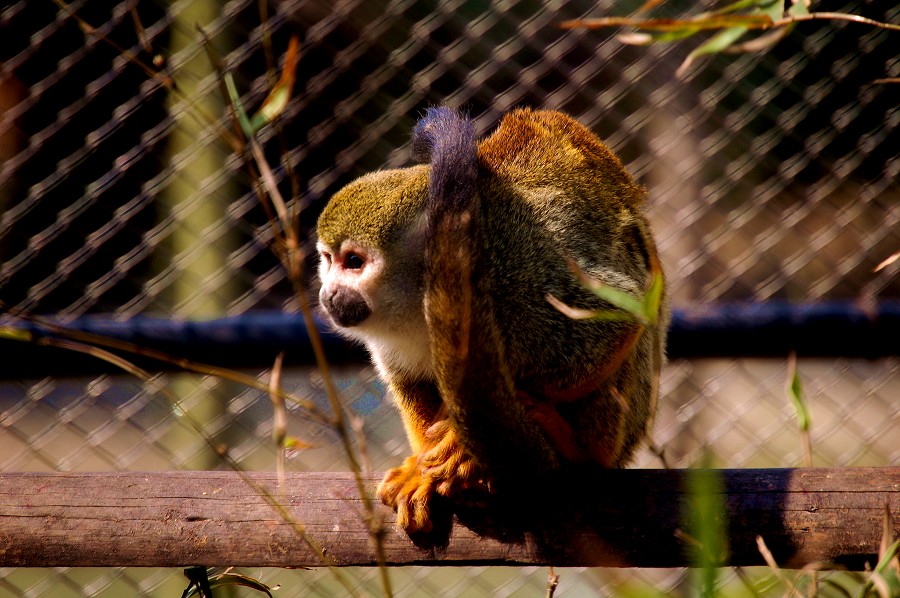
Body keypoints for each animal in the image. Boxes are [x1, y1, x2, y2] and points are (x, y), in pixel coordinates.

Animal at [318, 106, 668, 536]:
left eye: (353, 262)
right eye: (327, 260)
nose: (329, 294)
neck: (416, 300)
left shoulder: (515, 277)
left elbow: (620, 319)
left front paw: (460, 439)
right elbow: (411, 383)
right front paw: (422, 469)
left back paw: (576, 450)